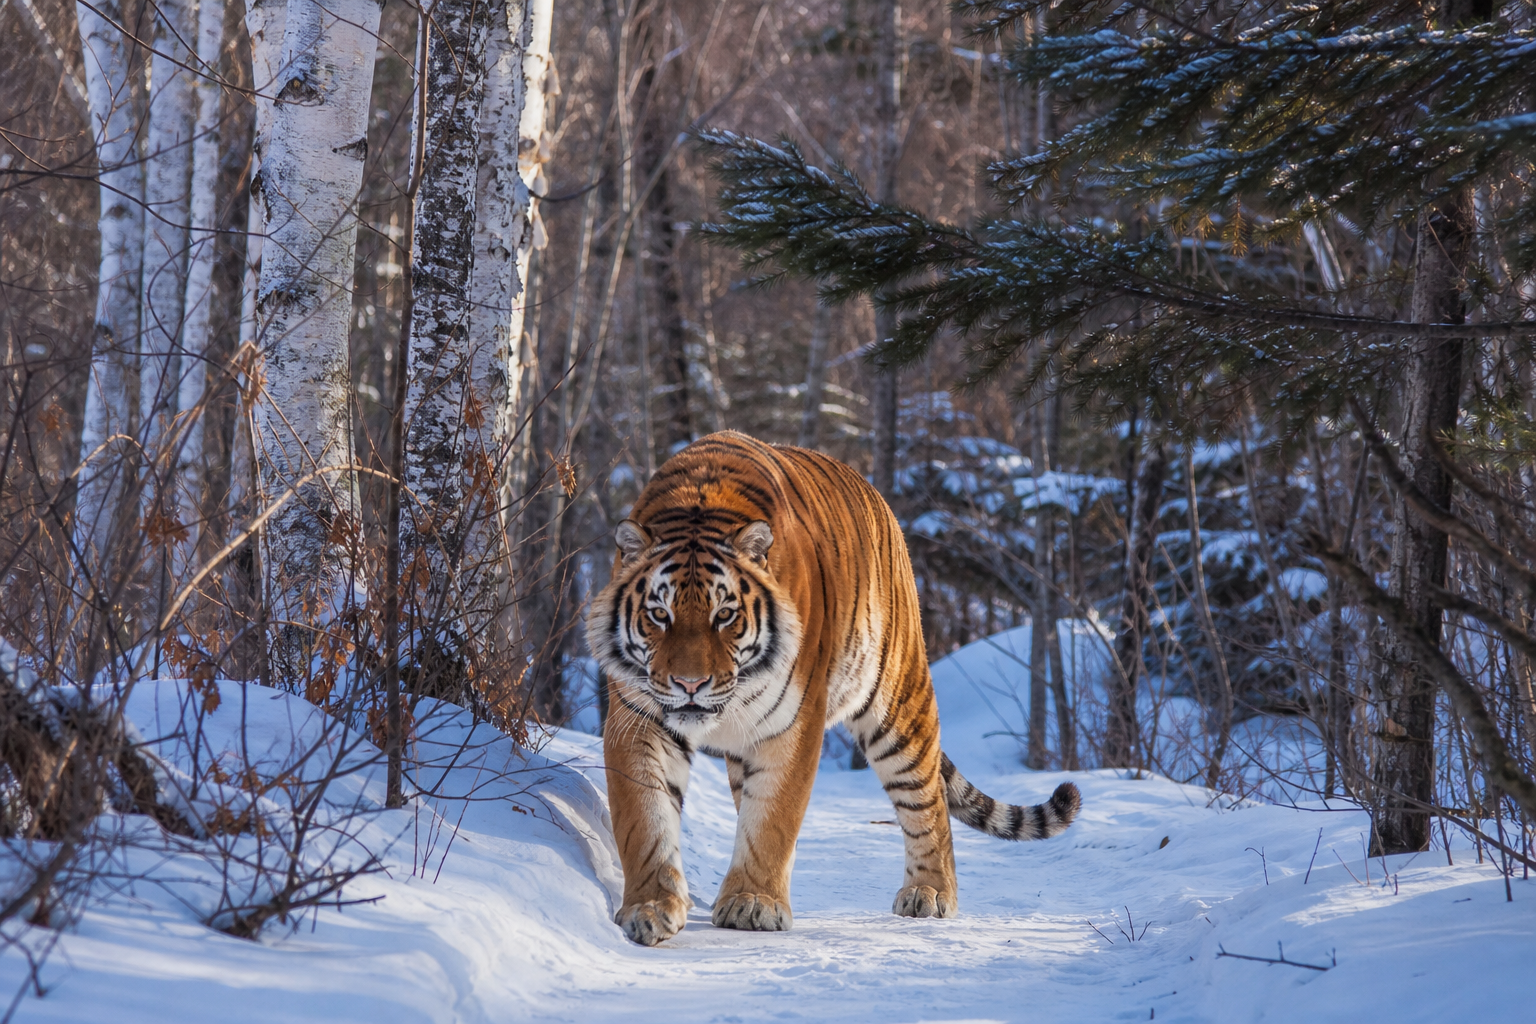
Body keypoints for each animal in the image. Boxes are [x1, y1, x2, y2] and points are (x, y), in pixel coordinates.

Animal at [586, 431, 1080, 946]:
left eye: (725, 615)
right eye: (659, 614)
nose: (689, 683)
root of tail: (879, 500)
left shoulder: (794, 721)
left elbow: (774, 818)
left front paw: (752, 903)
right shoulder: (638, 719)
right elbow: (644, 818)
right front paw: (649, 907)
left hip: (898, 707)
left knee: (929, 802)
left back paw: (930, 893)